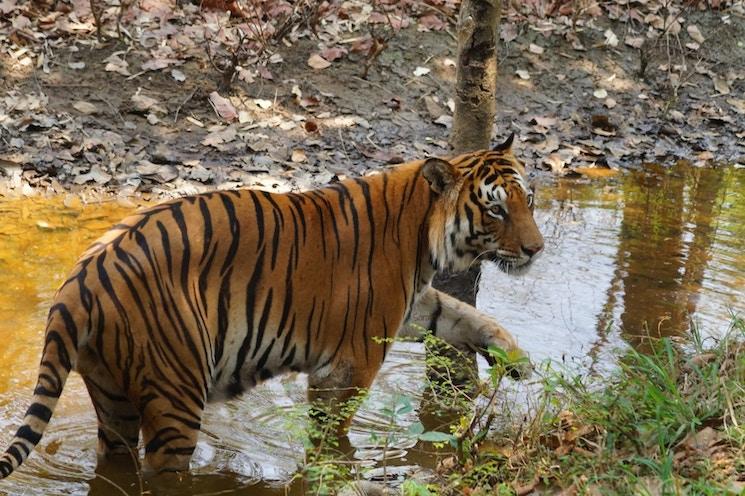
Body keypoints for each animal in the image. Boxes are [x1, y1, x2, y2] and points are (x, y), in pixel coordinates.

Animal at [0, 134, 543, 477]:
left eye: (529, 200)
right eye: (496, 209)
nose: (537, 249)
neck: (423, 235)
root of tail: (78, 284)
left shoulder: (406, 308)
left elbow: (458, 314)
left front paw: (515, 359)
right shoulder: (354, 359)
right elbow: (331, 436)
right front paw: (335, 466)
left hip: (113, 397)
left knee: (114, 460)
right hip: (176, 395)